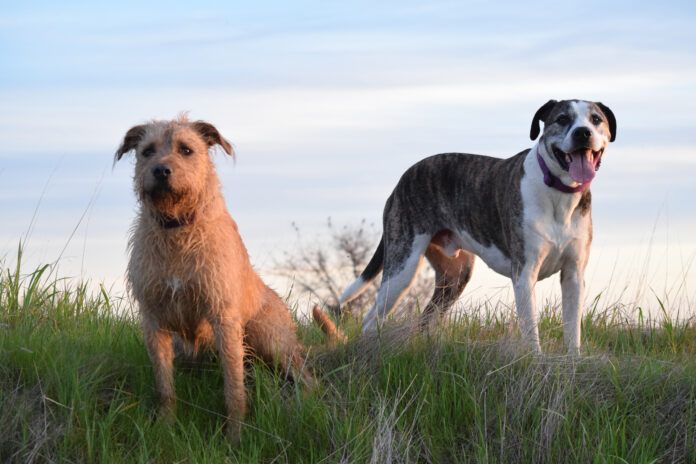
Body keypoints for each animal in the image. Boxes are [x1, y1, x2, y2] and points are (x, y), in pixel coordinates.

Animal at [115, 115, 342, 438]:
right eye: (147, 151)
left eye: (186, 149)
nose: (161, 170)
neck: (178, 229)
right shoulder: (154, 320)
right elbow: (164, 386)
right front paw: (165, 427)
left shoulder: (223, 318)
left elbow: (234, 387)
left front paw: (234, 436)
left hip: (269, 338)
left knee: (307, 378)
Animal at [340, 99, 616, 356]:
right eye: (562, 119)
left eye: (595, 119)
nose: (582, 133)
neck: (559, 192)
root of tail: (402, 179)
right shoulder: (524, 273)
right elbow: (530, 328)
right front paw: (536, 360)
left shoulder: (573, 274)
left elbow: (572, 329)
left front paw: (573, 361)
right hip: (402, 266)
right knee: (371, 318)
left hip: (454, 277)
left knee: (426, 318)